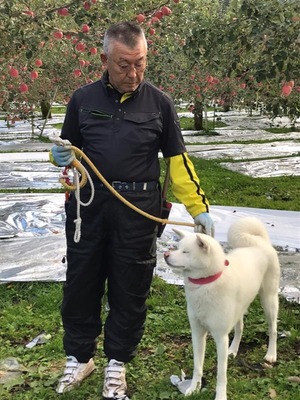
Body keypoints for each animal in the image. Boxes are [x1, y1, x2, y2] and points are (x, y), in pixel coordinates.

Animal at [164, 217, 278, 400]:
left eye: (186, 252)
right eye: (177, 247)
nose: (166, 255)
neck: (206, 283)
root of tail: (259, 241)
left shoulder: (220, 337)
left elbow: (221, 374)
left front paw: (220, 396)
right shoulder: (197, 333)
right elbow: (197, 366)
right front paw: (193, 389)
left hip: (269, 300)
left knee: (273, 329)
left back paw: (271, 354)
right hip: (239, 308)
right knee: (240, 328)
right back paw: (233, 350)